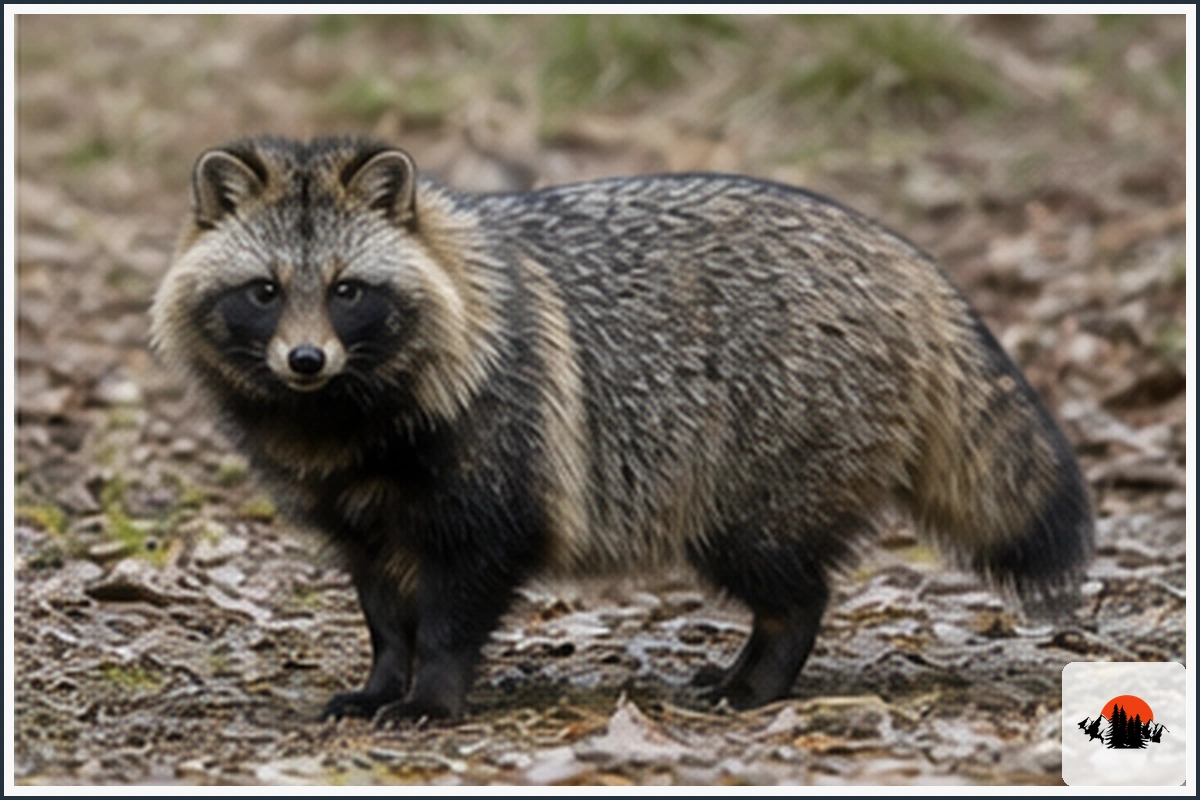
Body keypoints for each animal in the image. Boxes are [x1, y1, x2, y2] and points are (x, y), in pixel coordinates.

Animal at [150, 135, 1093, 722]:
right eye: (265, 291)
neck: (344, 420)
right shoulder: (360, 518)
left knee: (794, 591)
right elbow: (387, 614)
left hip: (751, 488)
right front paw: (385, 682)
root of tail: (902, 253)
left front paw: (433, 695)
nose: (305, 360)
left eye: (348, 290)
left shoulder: (495, 482)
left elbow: (454, 611)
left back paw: (762, 677)